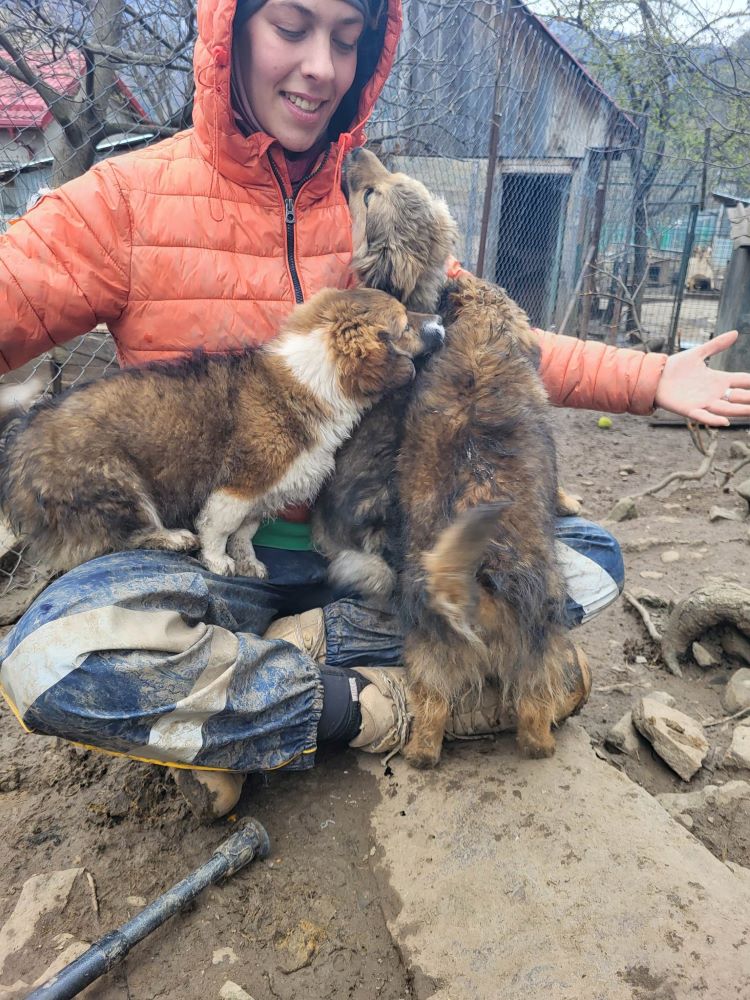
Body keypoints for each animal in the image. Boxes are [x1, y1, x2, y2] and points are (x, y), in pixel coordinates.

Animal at [0, 286, 444, 576]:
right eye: (405, 325)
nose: (440, 319)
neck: (313, 376)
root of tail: (20, 441)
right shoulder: (239, 486)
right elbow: (218, 527)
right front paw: (217, 561)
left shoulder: (266, 491)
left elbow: (245, 532)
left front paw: (248, 562)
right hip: (116, 483)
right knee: (126, 535)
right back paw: (173, 538)